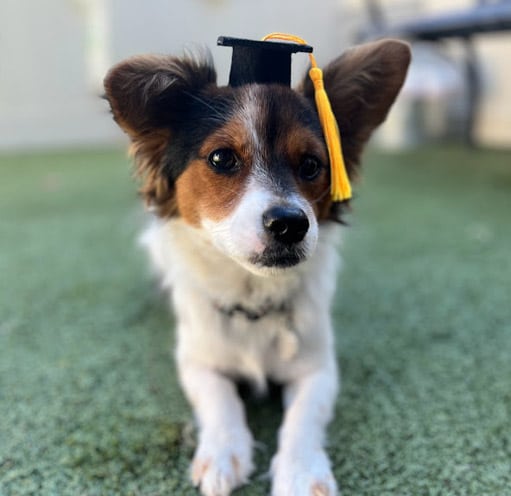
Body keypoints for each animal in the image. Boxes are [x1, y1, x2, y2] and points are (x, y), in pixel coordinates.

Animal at [104, 37, 412, 496]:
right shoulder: (197, 361)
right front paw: (222, 452)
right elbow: (220, 400)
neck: (252, 296)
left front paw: (301, 472)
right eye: (221, 159)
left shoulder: (319, 368)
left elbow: (303, 418)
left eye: (311, 165)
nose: (290, 224)